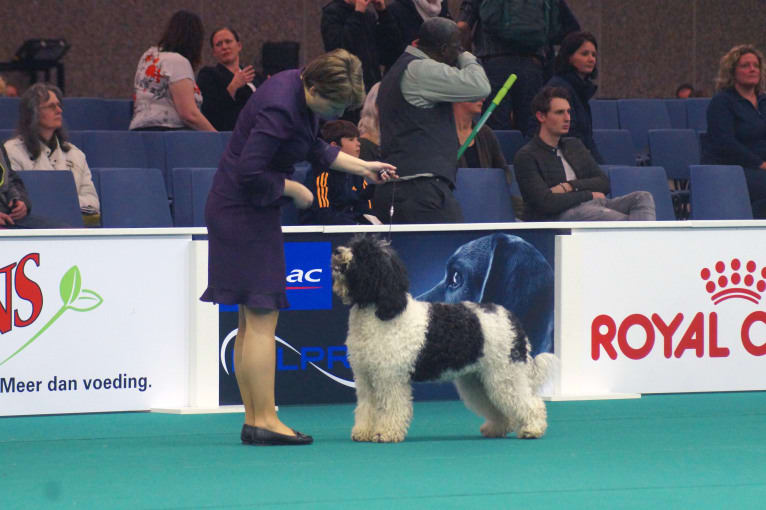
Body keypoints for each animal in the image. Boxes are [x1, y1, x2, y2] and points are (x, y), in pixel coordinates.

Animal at [330, 236, 552, 442]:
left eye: (363, 254)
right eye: (352, 245)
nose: (337, 251)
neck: (382, 311)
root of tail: (510, 318)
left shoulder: (390, 378)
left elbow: (391, 407)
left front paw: (386, 433)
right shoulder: (365, 378)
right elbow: (366, 407)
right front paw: (363, 432)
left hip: (505, 376)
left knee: (530, 402)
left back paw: (533, 428)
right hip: (479, 380)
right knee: (499, 408)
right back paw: (496, 429)